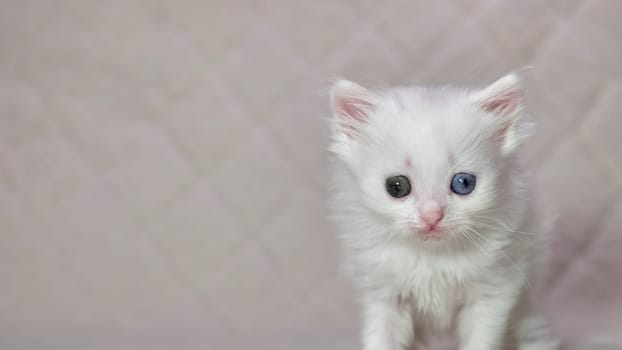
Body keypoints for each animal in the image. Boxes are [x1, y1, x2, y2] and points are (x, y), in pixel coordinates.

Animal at [330, 74, 564, 350]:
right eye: (397, 186)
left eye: (463, 183)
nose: (432, 216)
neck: (433, 258)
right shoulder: (383, 295)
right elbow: (381, 339)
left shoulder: (493, 291)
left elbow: (481, 341)